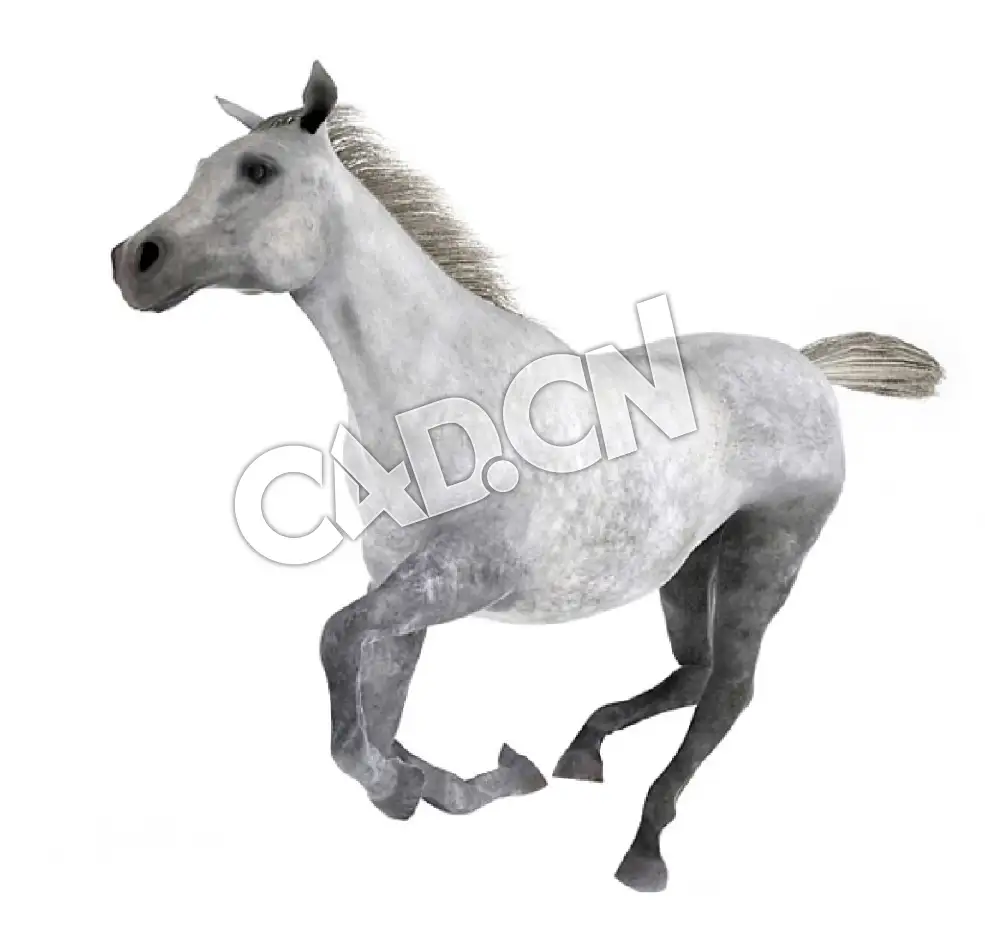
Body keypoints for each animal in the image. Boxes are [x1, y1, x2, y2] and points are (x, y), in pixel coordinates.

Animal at [110, 61, 944, 892]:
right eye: (202, 166)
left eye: (258, 169)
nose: (132, 259)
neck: (437, 394)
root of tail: (809, 366)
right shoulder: (399, 580)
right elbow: (379, 710)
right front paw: (463, 778)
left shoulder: (469, 575)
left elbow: (340, 652)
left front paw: (414, 781)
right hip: (687, 563)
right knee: (695, 671)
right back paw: (579, 752)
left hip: (764, 555)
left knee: (728, 690)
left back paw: (643, 849)